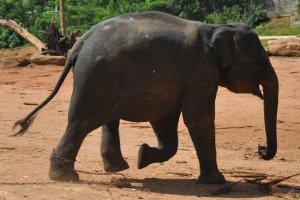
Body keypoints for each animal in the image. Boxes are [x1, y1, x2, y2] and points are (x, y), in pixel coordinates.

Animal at [12, 11, 278, 184]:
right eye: (261, 61)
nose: (261, 149)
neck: (216, 27)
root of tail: (80, 43)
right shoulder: (201, 72)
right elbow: (198, 119)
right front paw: (216, 182)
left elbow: (166, 121)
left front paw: (142, 156)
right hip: (95, 77)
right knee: (81, 122)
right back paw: (66, 177)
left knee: (106, 120)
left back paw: (117, 168)